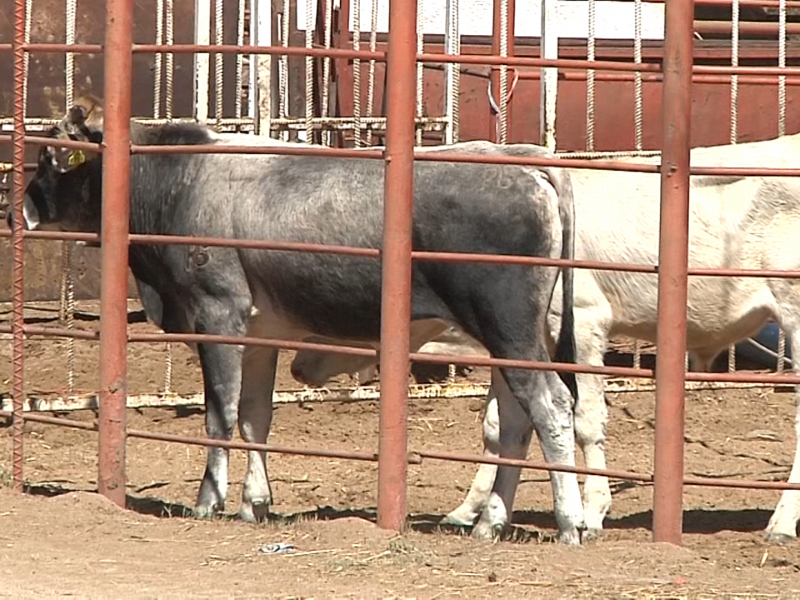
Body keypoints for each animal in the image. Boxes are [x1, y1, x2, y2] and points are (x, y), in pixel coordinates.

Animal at [18, 99, 584, 544]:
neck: (179, 179)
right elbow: (255, 417)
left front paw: (209, 500)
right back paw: (491, 522)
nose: (15, 209)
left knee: (551, 406)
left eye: (50, 156)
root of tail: (526, 163)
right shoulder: (261, 334)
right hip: (512, 339)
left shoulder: (217, 312)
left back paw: (571, 521)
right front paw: (254, 503)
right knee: (515, 422)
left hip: (508, 325)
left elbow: (220, 415)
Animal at [294, 132, 800, 544]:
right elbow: (501, 425)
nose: (299, 365)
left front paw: (590, 514)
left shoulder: (583, 322)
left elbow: (584, 419)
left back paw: (779, 525)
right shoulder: (516, 337)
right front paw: (472, 511)